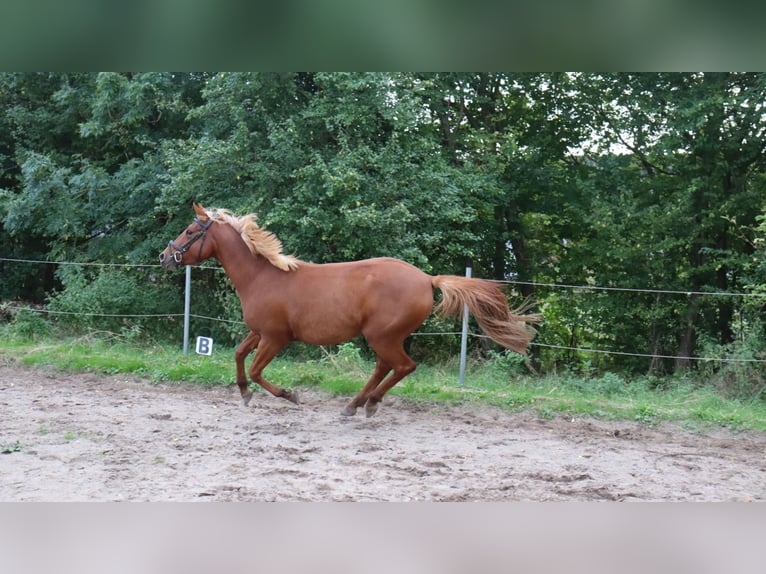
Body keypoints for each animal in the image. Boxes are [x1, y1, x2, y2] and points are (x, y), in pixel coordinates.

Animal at [158, 204, 540, 418]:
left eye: (190, 231)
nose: (164, 256)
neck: (262, 276)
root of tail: (426, 278)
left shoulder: (276, 337)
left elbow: (255, 369)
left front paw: (290, 395)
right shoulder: (259, 331)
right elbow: (239, 356)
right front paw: (244, 394)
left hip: (382, 335)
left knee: (403, 366)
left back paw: (366, 405)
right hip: (386, 337)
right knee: (387, 367)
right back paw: (356, 404)